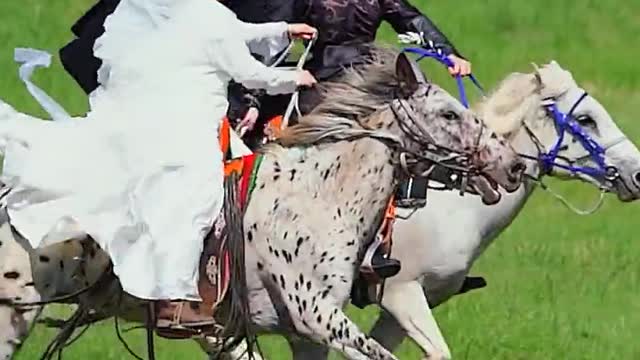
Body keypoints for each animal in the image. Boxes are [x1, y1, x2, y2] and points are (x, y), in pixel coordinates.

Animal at [0, 48, 524, 360]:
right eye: (448, 114)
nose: (513, 164)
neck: (319, 198)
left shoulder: (303, 333)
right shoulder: (318, 316)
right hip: (13, 315)